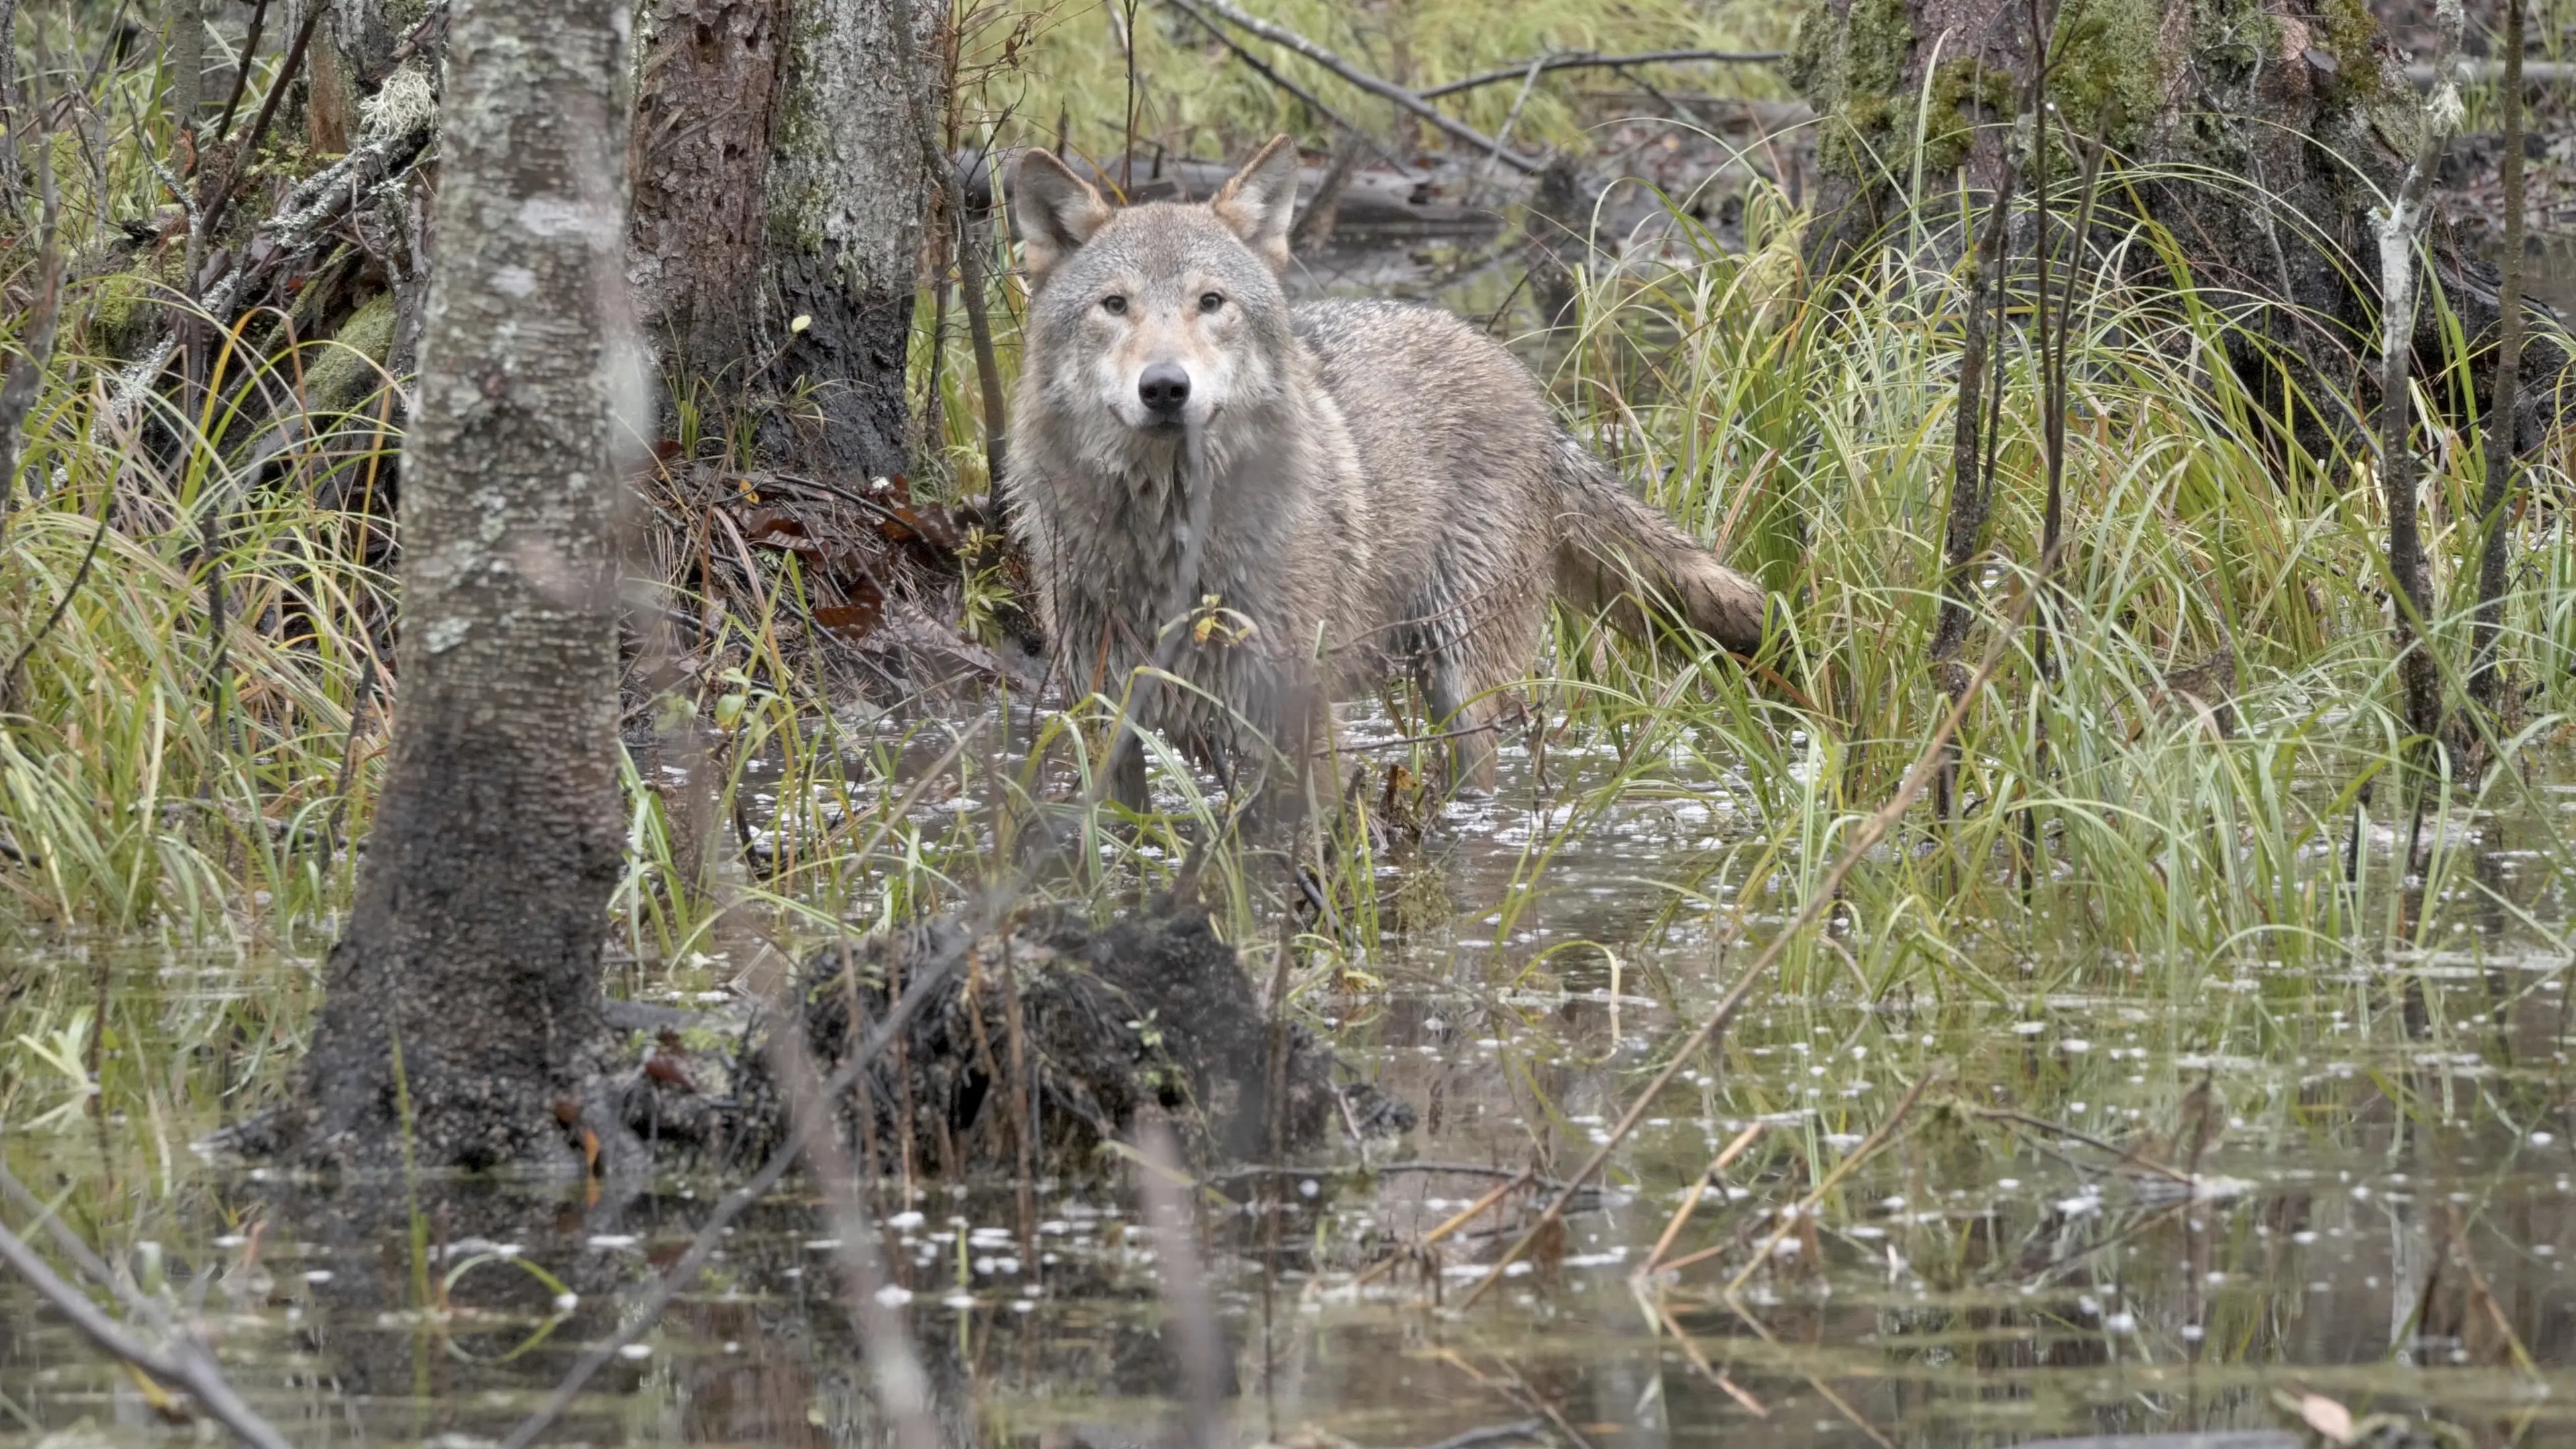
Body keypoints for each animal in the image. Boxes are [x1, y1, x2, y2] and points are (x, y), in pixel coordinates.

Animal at [1004, 136, 1768, 809]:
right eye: (1115, 305)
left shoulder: (1296, 718)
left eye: (1211, 302)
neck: (1168, 536)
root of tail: (1521, 382)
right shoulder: (1104, 722)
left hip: (1463, 682)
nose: (1165, 387)